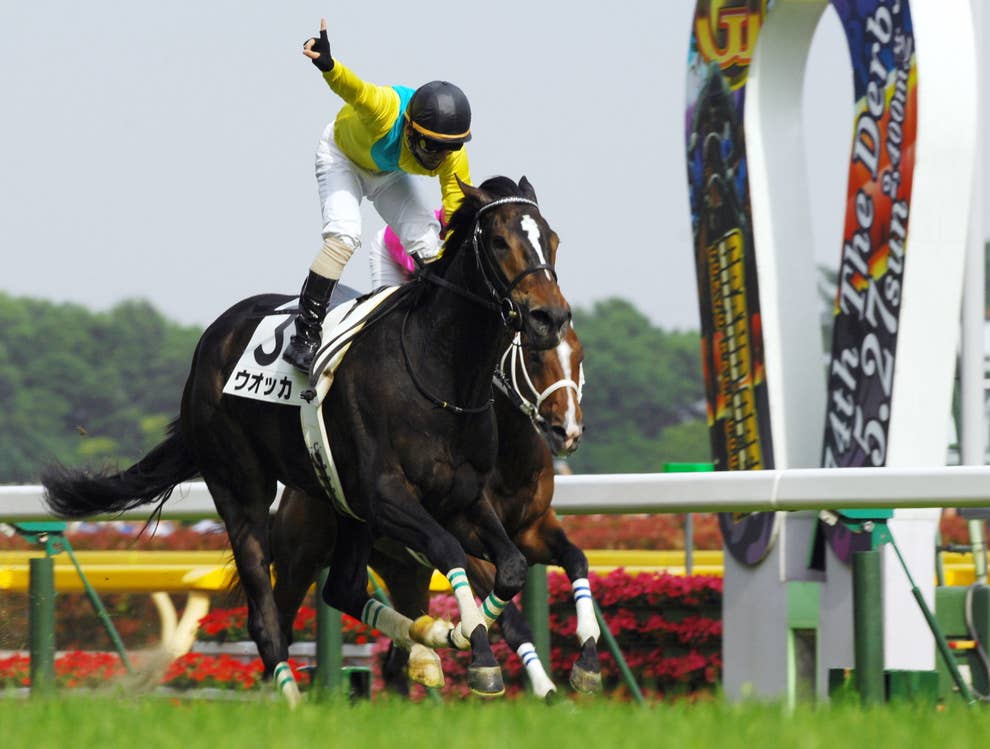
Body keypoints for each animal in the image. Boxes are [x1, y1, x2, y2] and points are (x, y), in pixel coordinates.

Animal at [271, 322, 603, 699]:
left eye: (579, 355)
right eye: (533, 356)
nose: (568, 431)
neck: (509, 458)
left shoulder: (532, 530)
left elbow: (577, 559)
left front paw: (587, 661)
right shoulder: (472, 541)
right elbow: (513, 619)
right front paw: (543, 687)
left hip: (406, 573)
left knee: (393, 656)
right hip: (302, 558)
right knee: (281, 621)